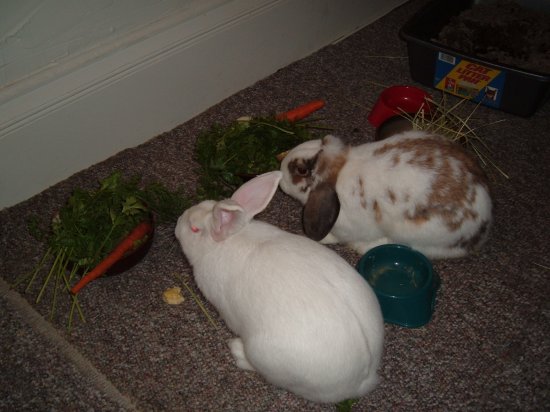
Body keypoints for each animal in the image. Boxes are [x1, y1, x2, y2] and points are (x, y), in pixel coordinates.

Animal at [176, 170, 384, 402]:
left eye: (194, 228)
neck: (224, 241)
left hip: (263, 354)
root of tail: (363, 379)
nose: (177, 222)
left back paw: (237, 351)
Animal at [282, 130, 494, 258]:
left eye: (301, 170)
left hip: (418, 233)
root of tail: (482, 230)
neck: (340, 170)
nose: (281, 172)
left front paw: (325, 239)